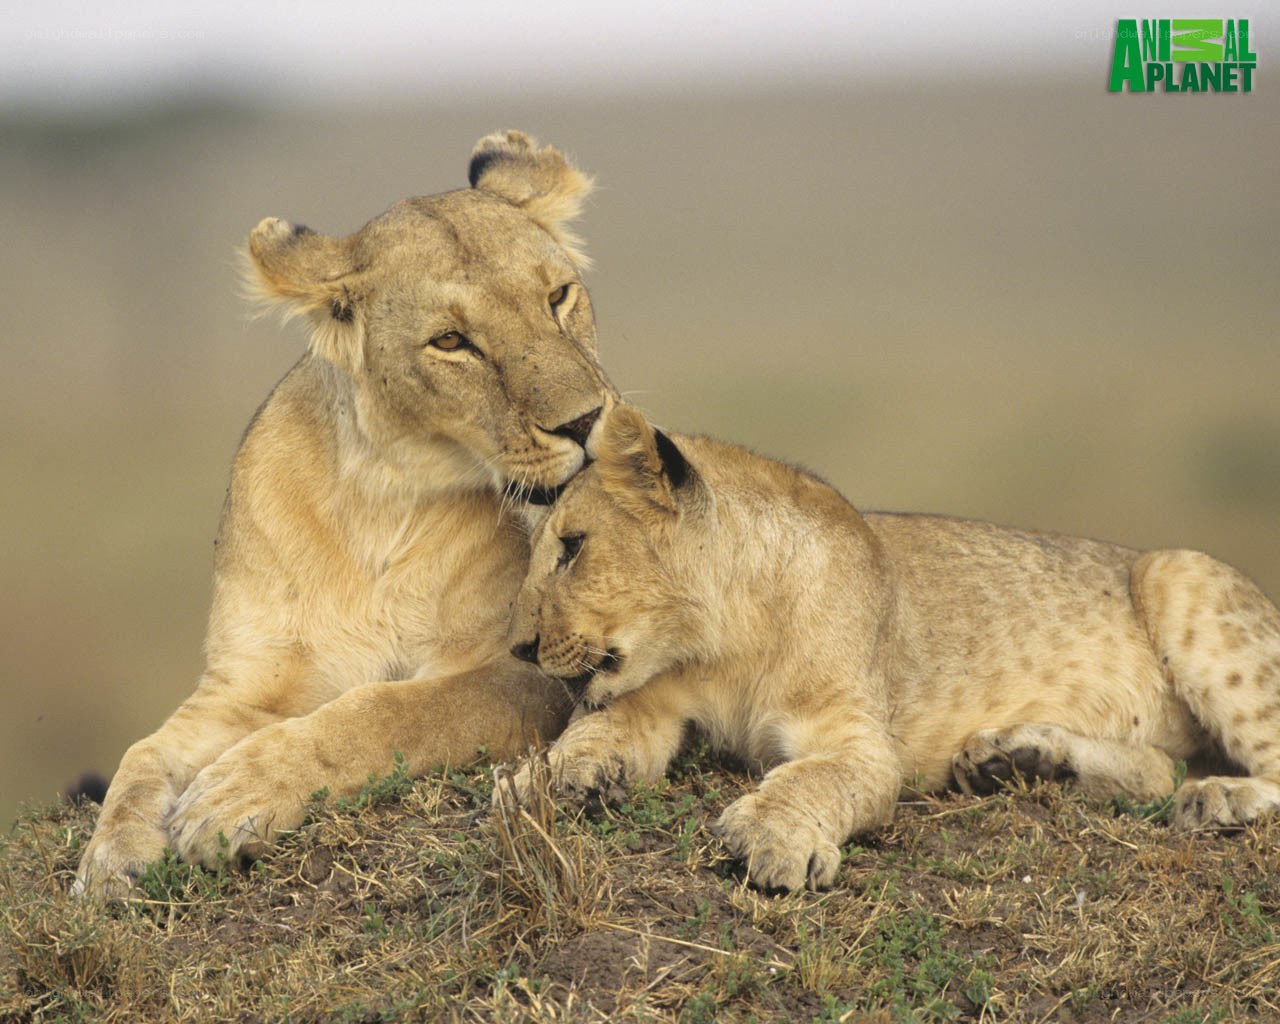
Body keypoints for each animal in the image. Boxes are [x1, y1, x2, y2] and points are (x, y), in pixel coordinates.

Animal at [75, 131, 617, 900]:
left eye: (558, 296)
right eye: (451, 342)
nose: (586, 422)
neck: (386, 499)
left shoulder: (538, 670)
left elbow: (393, 709)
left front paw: (237, 794)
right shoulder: (244, 685)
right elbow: (143, 751)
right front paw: (112, 854)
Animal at [499, 403, 1280, 892]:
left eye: (573, 547)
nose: (520, 648)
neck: (722, 648)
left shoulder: (863, 741)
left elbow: (815, 778)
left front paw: (772, 838)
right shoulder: (652, 700)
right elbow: (600, 730)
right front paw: (546, 778)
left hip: (1180, 571)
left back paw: (1219, 800)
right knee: (1157, 771)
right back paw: (1018, 759)